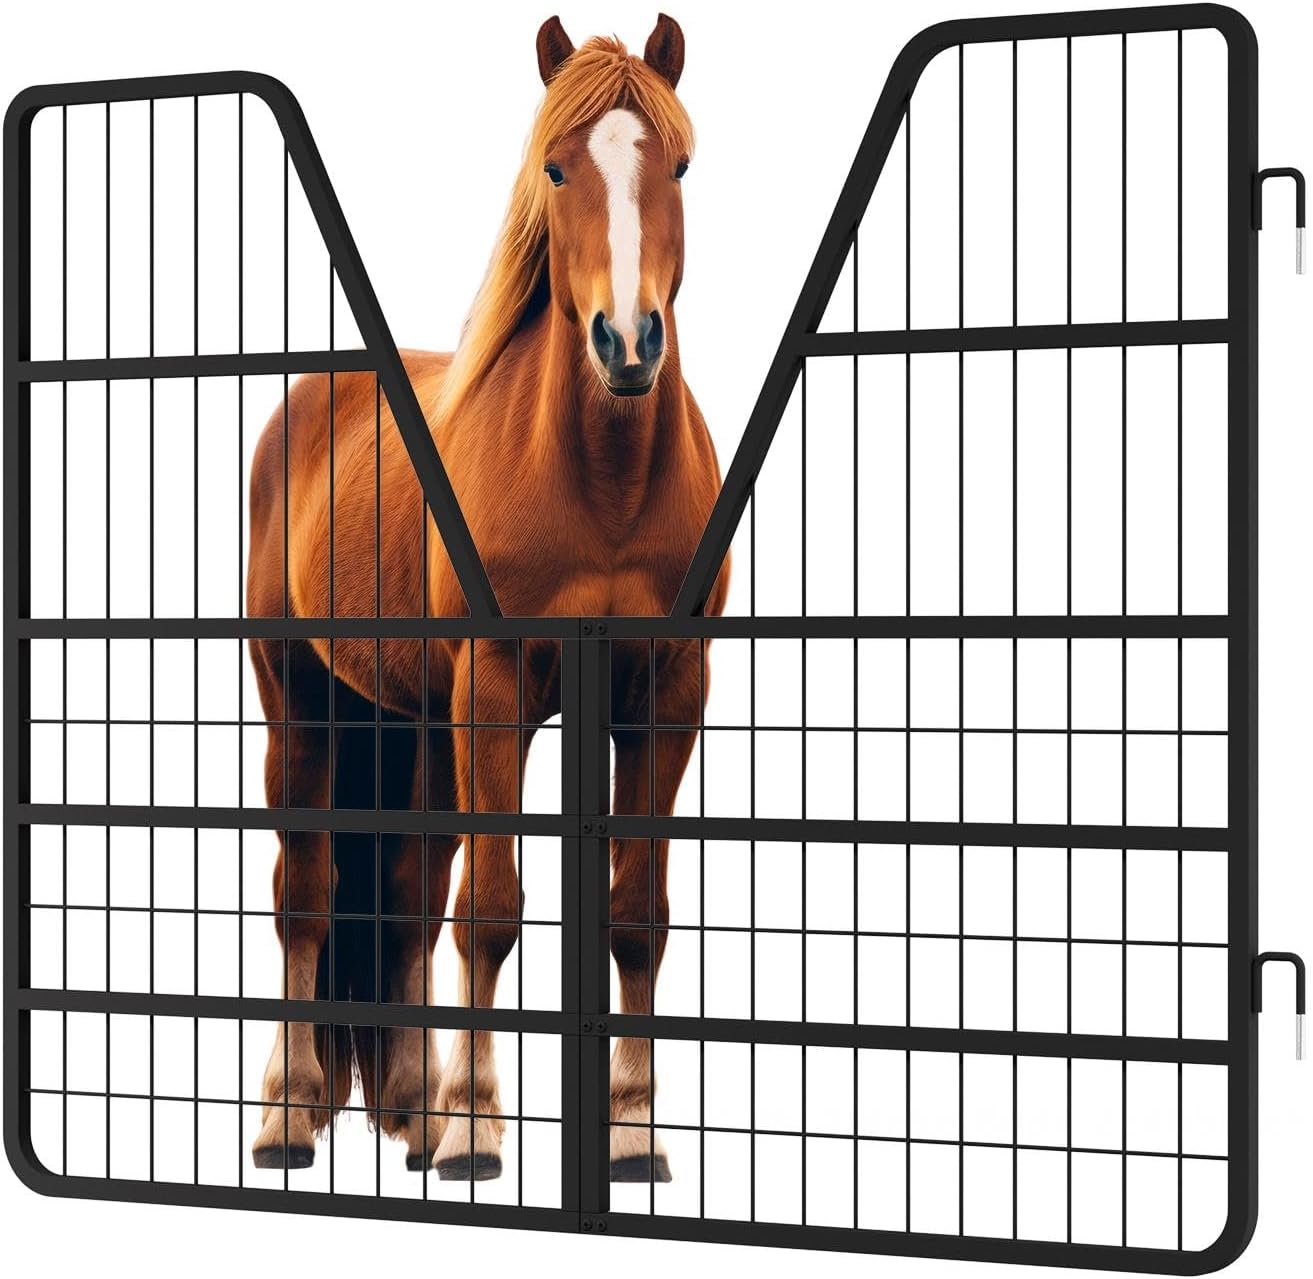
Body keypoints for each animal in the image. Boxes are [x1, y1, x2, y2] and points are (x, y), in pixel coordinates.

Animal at [246, 13, 728, 1183]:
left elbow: (633, 914)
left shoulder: (668, 692)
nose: (626, 344)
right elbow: (495, 912)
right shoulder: (497, 686)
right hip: (302, 702)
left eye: (679, 165)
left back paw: (408, 1111)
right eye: (553, 166)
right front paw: (474, 1126)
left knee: (409, 896)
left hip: (419, 724)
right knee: (304, 893)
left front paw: (633, 1134)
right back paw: (292, 1113)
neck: (601, 483)